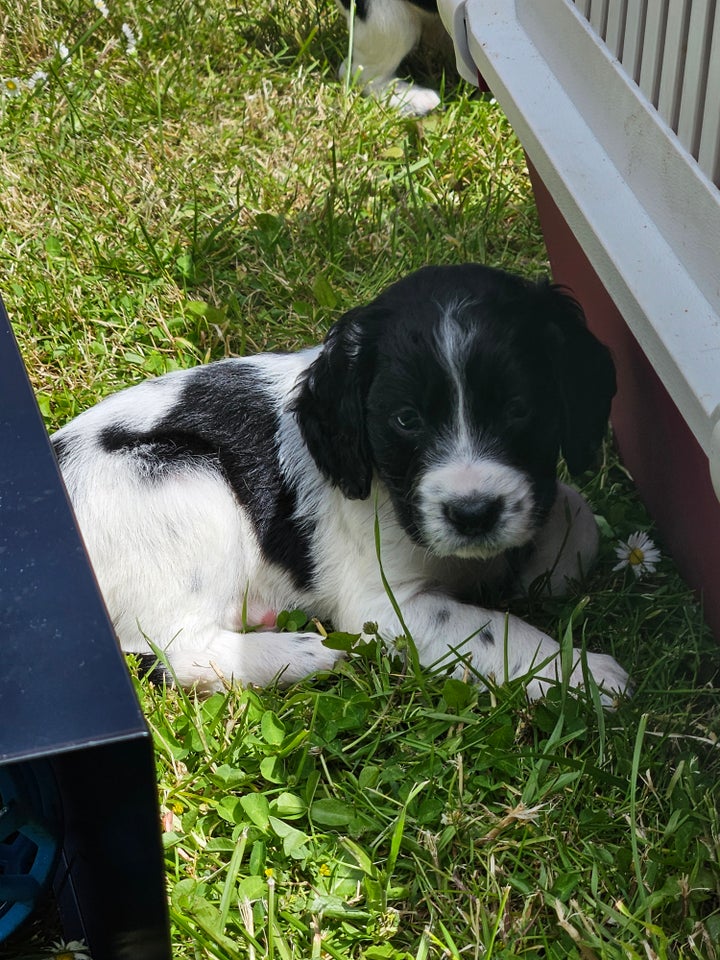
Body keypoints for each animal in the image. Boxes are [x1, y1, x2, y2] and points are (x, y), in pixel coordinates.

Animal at [53, 266, 632, 700]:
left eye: (519, 409)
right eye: (406, 419)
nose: (473, 515)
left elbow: (577, 514)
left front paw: (544, 568)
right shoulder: (383, 607)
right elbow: (495, 629)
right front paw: (583, 675)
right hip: (186, 481)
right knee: (178, 651)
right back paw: (308, 654)